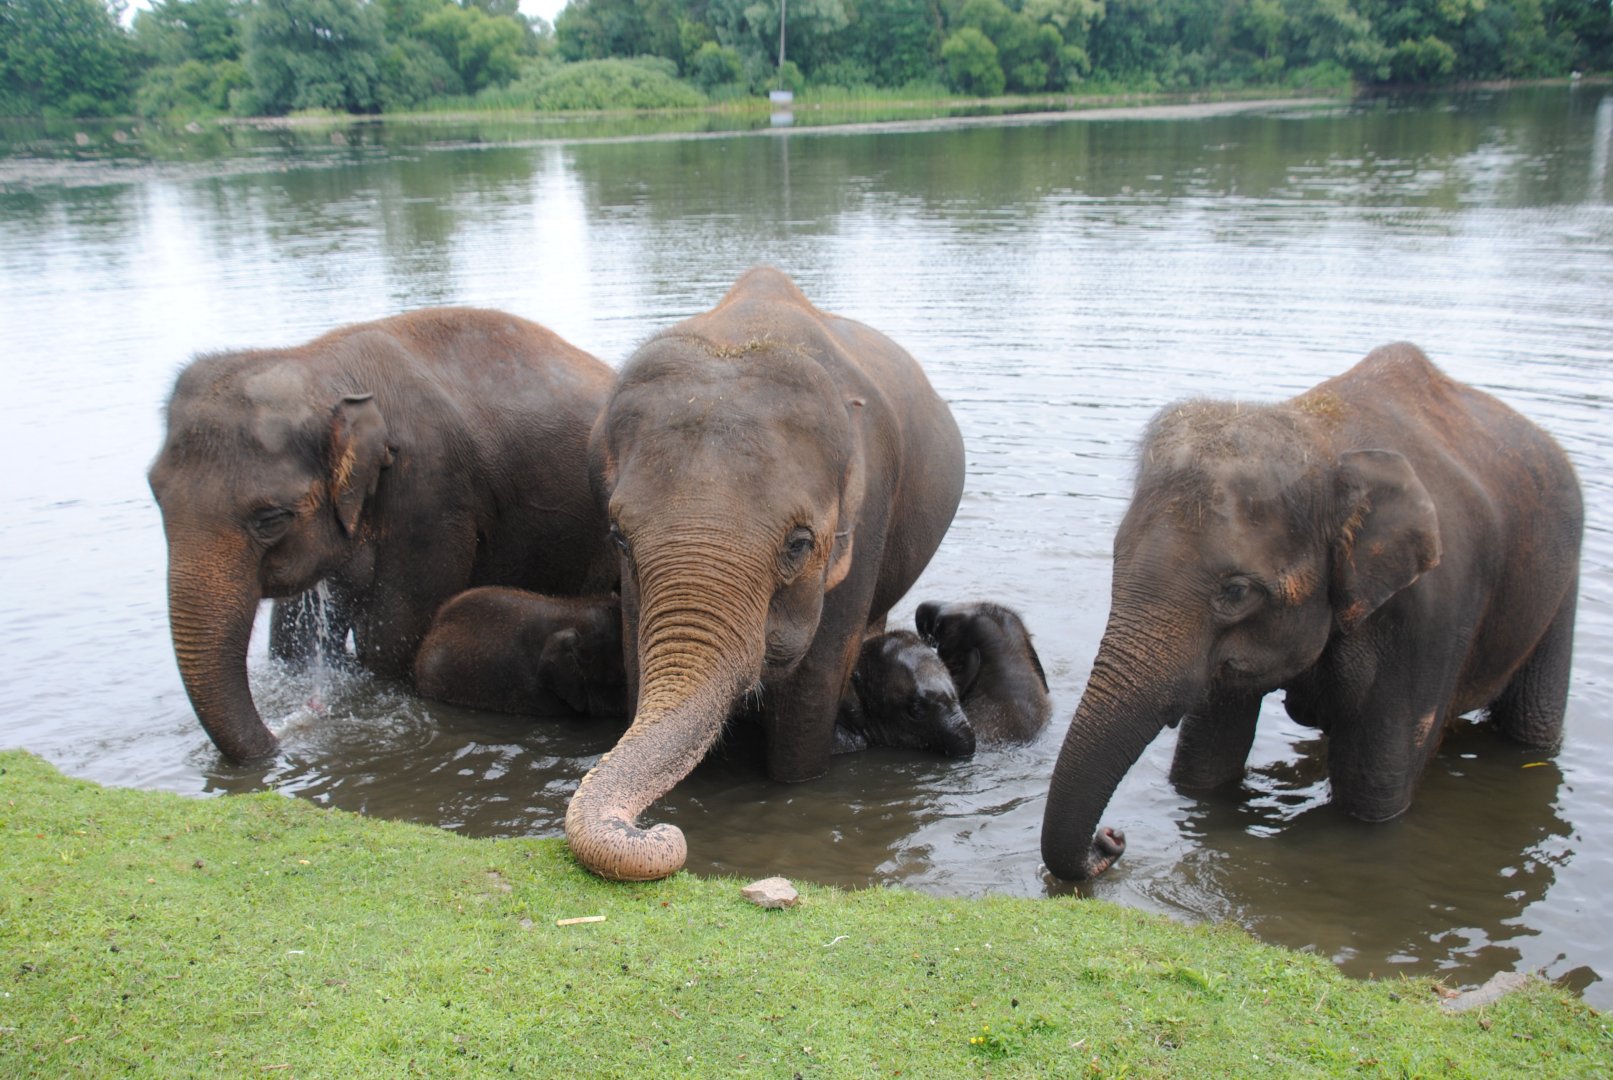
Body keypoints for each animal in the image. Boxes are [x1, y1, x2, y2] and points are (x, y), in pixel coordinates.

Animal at [1041, 343, 1582, 882]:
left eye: (1236, 591)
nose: (1112, 839)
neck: (1323, 438)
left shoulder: (1433, 618)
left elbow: (1373, 794)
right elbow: (1204, 767)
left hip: (1563, 584)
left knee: (1531, 726)